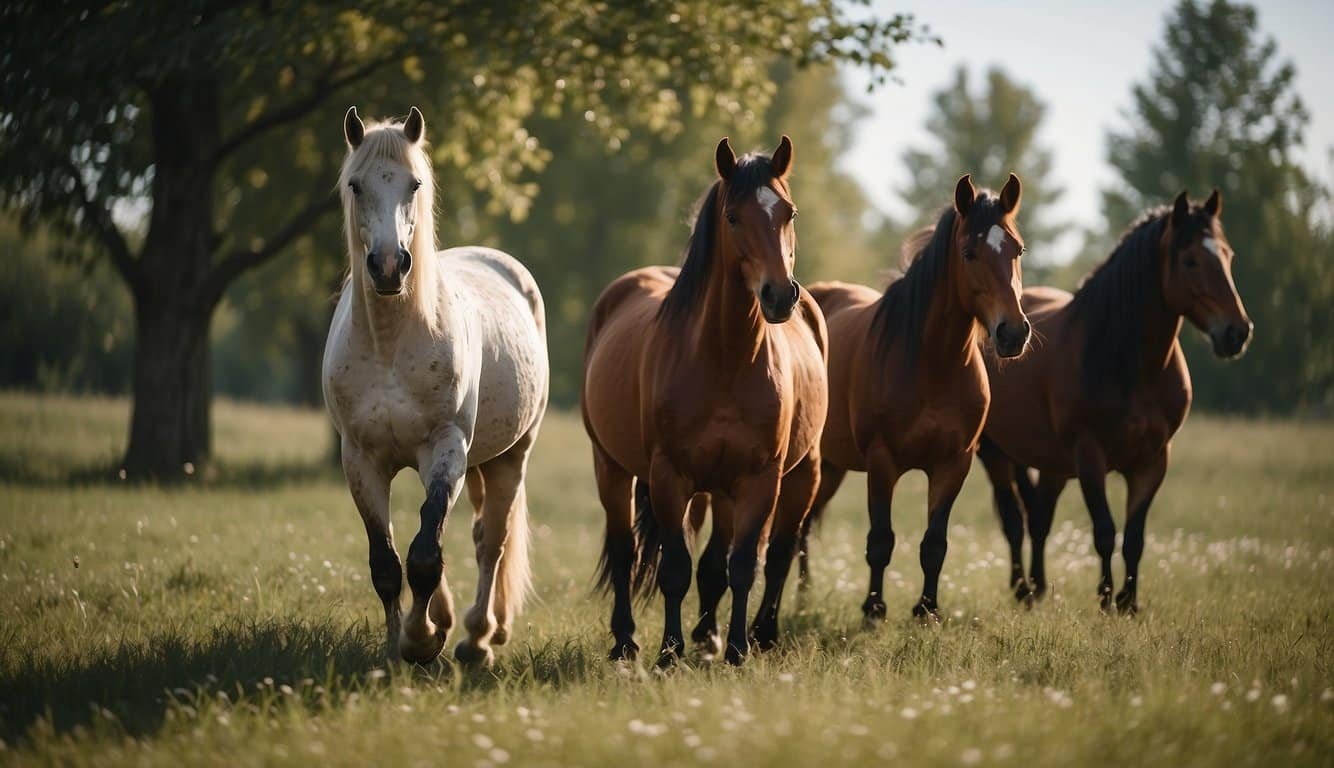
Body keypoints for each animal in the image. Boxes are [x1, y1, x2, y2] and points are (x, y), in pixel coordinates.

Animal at [322, 108, 546, 666]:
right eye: (356, 185)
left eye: (414, 183)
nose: (387, 265)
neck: (389, 345)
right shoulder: (360, 459)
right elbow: (387, 561)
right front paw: (394, 648)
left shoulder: (446, 448)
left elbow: (425, 554)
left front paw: (420, 642)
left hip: (510, 455)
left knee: (491, 541)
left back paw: (478, 637)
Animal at [581, 134, 821, 664]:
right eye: (732, 216)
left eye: (790, 212)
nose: (780, 296)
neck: (726, 359)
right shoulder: (669, 476)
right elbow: (675, 567)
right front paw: (669, 653)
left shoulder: (758, 480)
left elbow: (741, 566)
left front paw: (735, 649)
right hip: (613, 467)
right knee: (625, 550)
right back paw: (625, 641)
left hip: (785, 479)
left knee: (756, 557)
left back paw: (733, 636)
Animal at [789, 176, 1029, 624]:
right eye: (969, 252)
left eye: (1018, 249)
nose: (1013, 333)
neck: (932, 363)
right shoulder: (883, 462)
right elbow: (881, 540)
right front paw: (873, 610)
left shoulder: (954, 464)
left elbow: (935, 543)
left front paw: (926, 610)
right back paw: (801, 600)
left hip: (831, 467)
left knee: (805, 524)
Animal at [981, 190, 1248, 613]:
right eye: (1190, 260)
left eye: (1227, 255)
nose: (1236, 332)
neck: (1129, 362)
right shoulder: (1090, 456)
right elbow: (1105, 531)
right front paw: (1106, 599)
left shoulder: (1152, 461)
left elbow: (1135, 538)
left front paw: (1129, 602)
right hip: (994, 453)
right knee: (1013, 520)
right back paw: (1022, 588)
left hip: (1053, 463)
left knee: (1039, 518)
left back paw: (1038, 588)